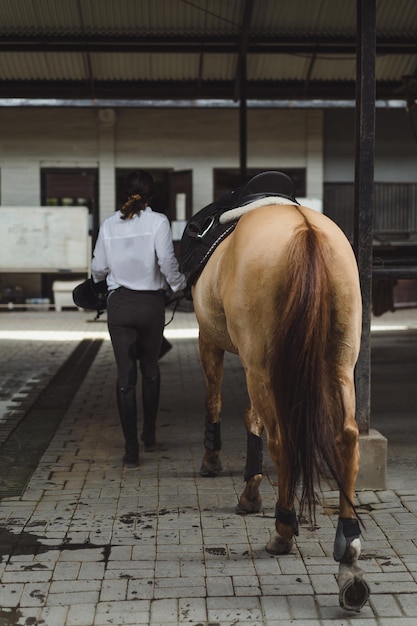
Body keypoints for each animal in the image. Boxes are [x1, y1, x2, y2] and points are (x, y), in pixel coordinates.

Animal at [190, 197, 368, 608]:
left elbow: (215, 401)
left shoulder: (212, 339)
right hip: (339, 360)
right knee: (346, 438)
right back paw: (349, 553)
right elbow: (251, 416)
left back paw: (283, 530)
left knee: (282, 442)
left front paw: (216, 463)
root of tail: (305, 230)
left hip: (261, 364)